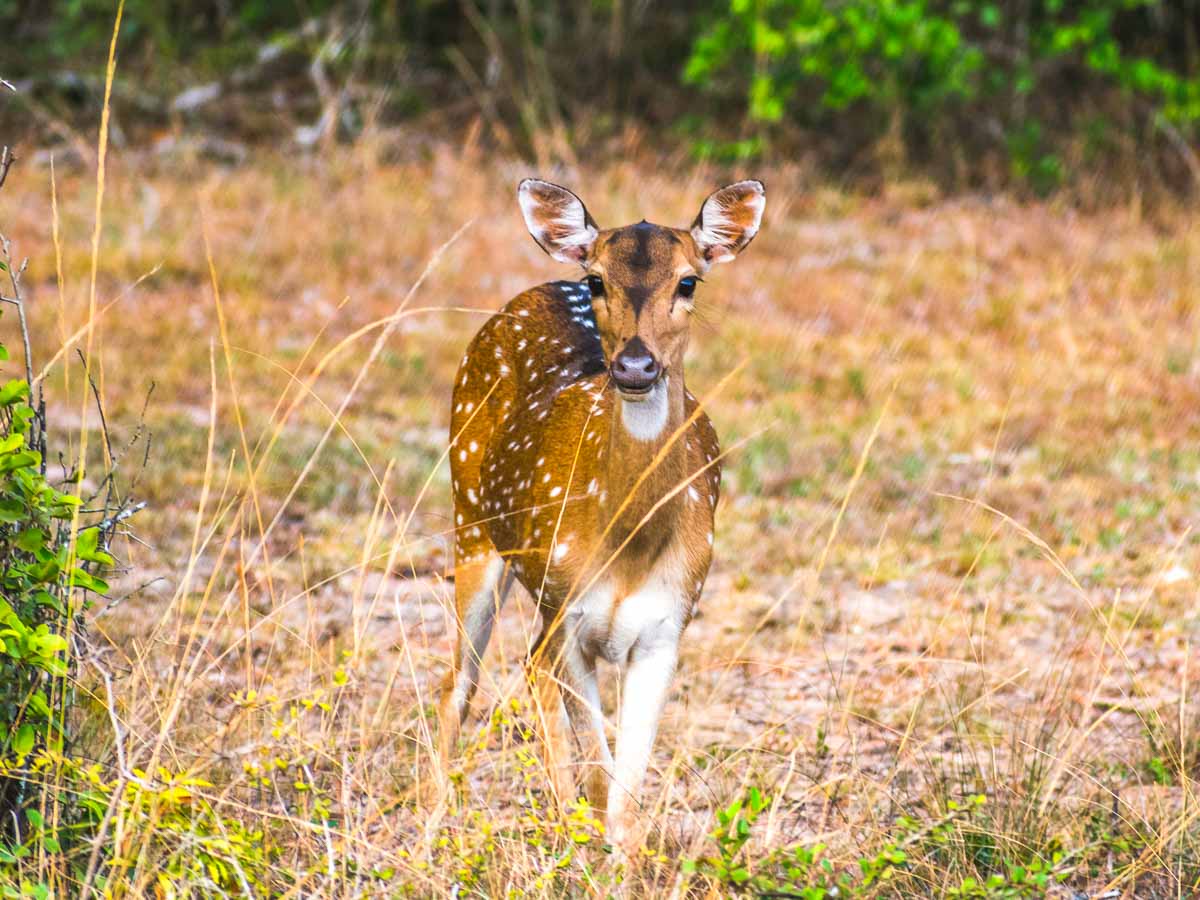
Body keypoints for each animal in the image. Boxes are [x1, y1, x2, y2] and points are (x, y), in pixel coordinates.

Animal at [436, 177, 763, 844]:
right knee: (462, 681)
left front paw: (615, 848)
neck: (629, 546)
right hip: (473, 520)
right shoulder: (569, 611)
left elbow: (625, 795)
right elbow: (600, 766)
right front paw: (581, 835)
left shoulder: (669, 623)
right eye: (596, 280)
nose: (635, 366)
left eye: (688, 281)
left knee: (522, 666)